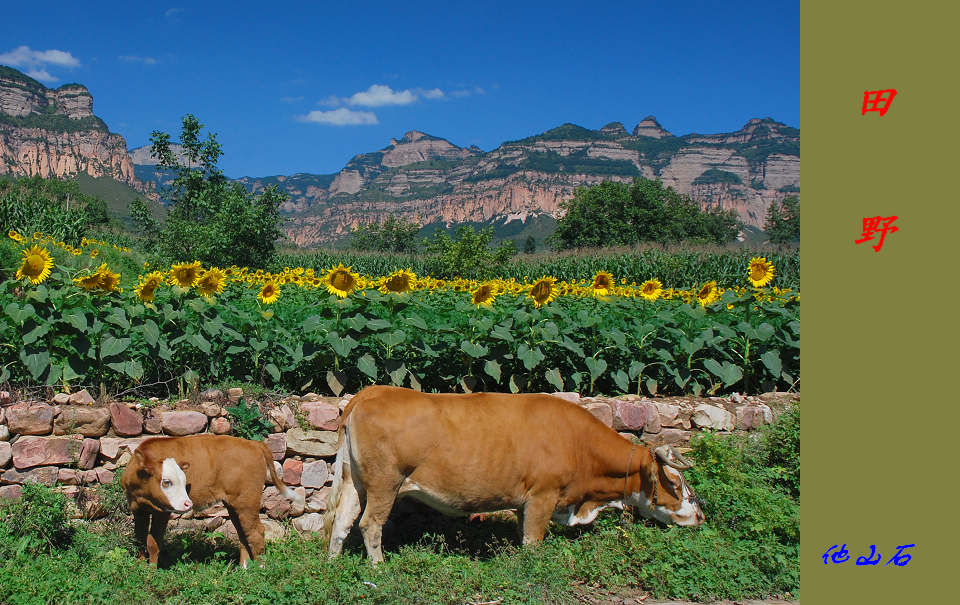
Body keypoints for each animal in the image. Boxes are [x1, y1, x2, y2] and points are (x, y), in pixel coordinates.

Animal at [122, 434, 304, 568]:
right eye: (166, 482)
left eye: (184, 479)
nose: (188, 503)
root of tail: (253, 444)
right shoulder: (137, 508)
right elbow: (139, 539)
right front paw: (139, 567)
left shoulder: (162, 511)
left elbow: (153, 543)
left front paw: (151, 572)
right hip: (234, 504)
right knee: (243, 533)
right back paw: (244, 569)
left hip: (247, 501)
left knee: (256, 532)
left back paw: (260, 570)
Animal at [324, 384, 704, 564]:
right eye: (677, 483)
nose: (700, 515)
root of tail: (372, 391)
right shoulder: (543, 495)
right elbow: (533, 542)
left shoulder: (527, 502)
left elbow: (523, 534)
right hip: (384, 483)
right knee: (369, 525)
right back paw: (379, 567)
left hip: (355, 480)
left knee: (343, 519)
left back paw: (334, 563)